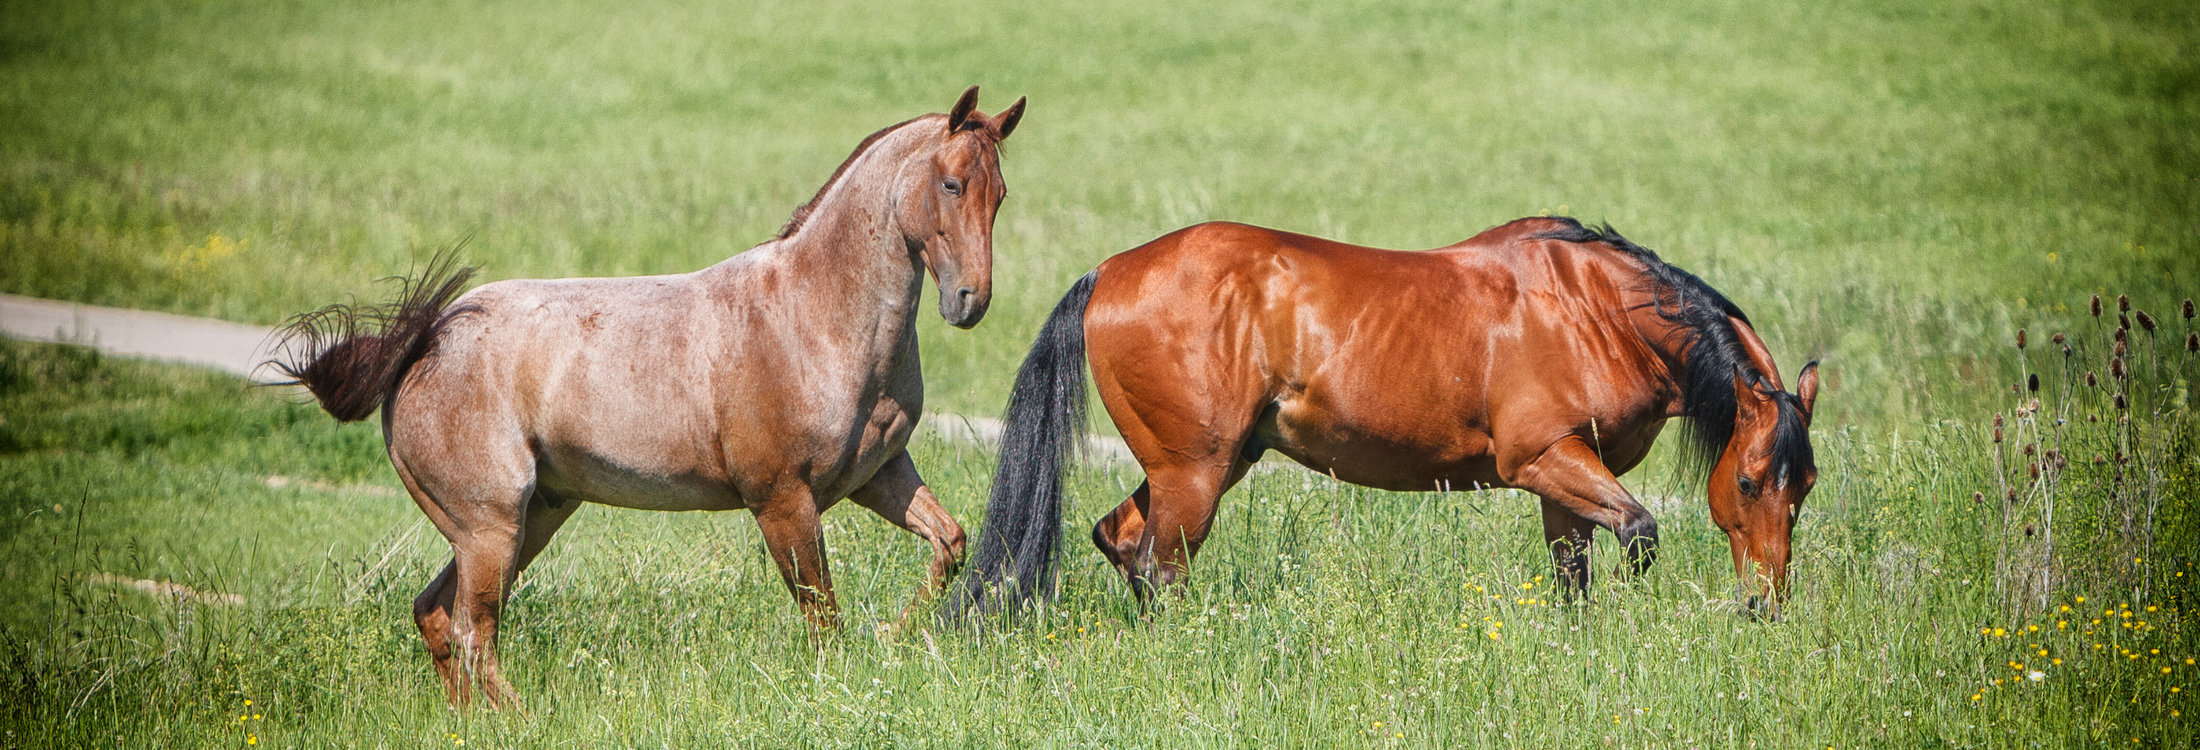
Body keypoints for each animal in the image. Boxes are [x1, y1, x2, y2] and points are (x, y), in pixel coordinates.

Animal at [272, 86, 1020, 699]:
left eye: (1000, 194)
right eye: (951, 184)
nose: (970, 301)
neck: (812, 316)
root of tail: (423, 345)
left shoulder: (878, 476)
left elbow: (949, 543)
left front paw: (894, 636)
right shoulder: (782, 501)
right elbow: (823, 616)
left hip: (528, 520)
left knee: (434, 615)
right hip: (491, 527)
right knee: (472, 634)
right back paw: (526, 722)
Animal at [950, 214, 1821, 620]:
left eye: (1804, 488)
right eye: (1749, 483)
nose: (1764, 605)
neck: (1593, 306)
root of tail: (1109, 272)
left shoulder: (1564, 476)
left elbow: (1574, 576)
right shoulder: (1543, 459)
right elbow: (1639, 535)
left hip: (1210, 465)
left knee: (1121, 540)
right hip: (1192, 473)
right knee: (1159, 565)